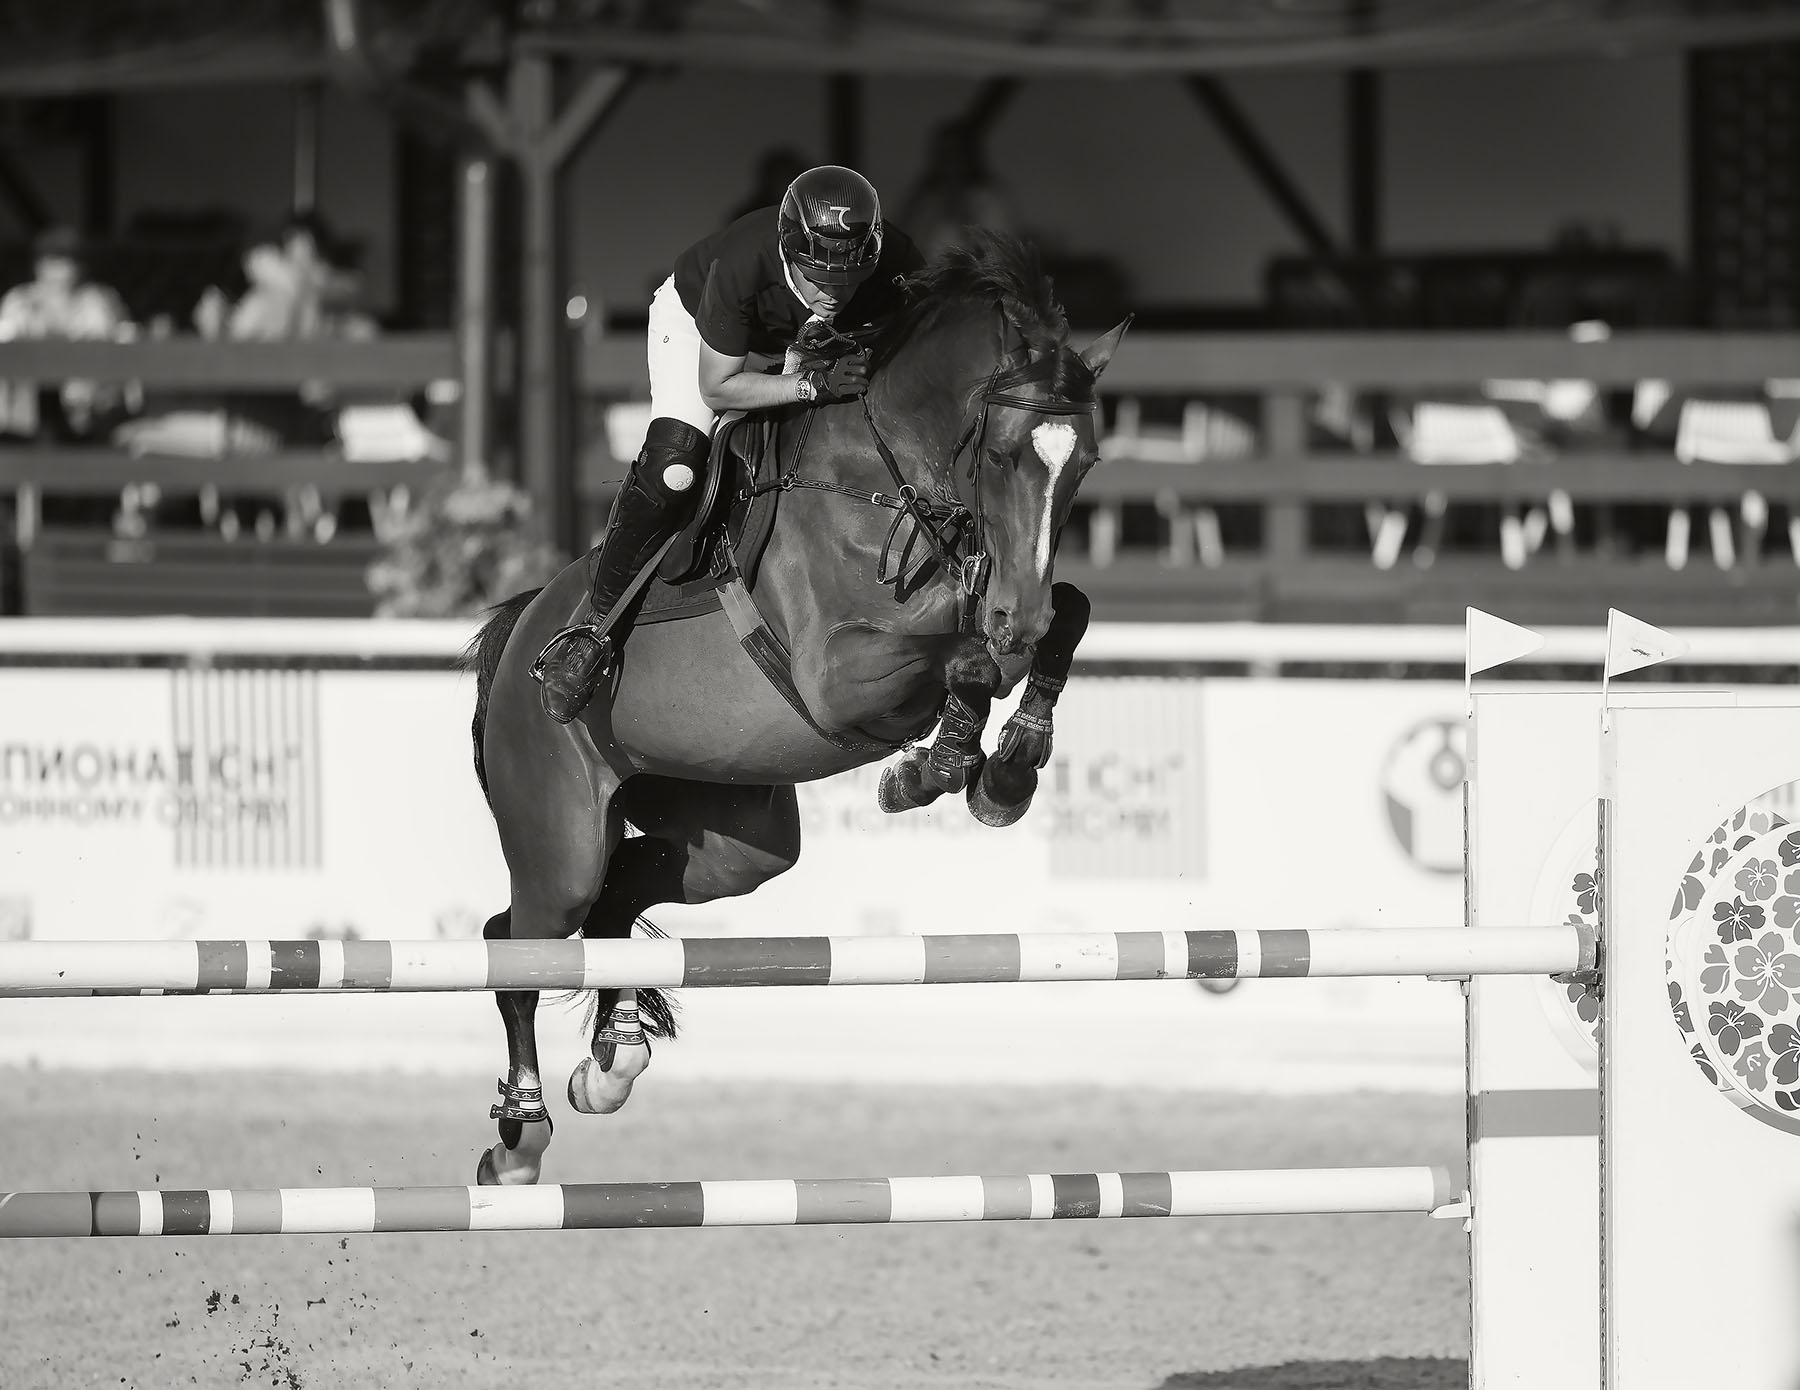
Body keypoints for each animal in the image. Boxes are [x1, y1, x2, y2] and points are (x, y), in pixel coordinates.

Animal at [463, 233, 1128, 1184]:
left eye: (1086, 464)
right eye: (1003, 454)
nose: (1017, 617)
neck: (888, 477)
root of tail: (522, 628)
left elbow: (1062, 616)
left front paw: (1006, 765)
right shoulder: (837, 671)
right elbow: (960, 656)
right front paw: (943, 765)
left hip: (732, 838)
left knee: (615, 903)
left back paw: (614, 1061)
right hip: (560, 833)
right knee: (520, 937)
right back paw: (521, 1136)